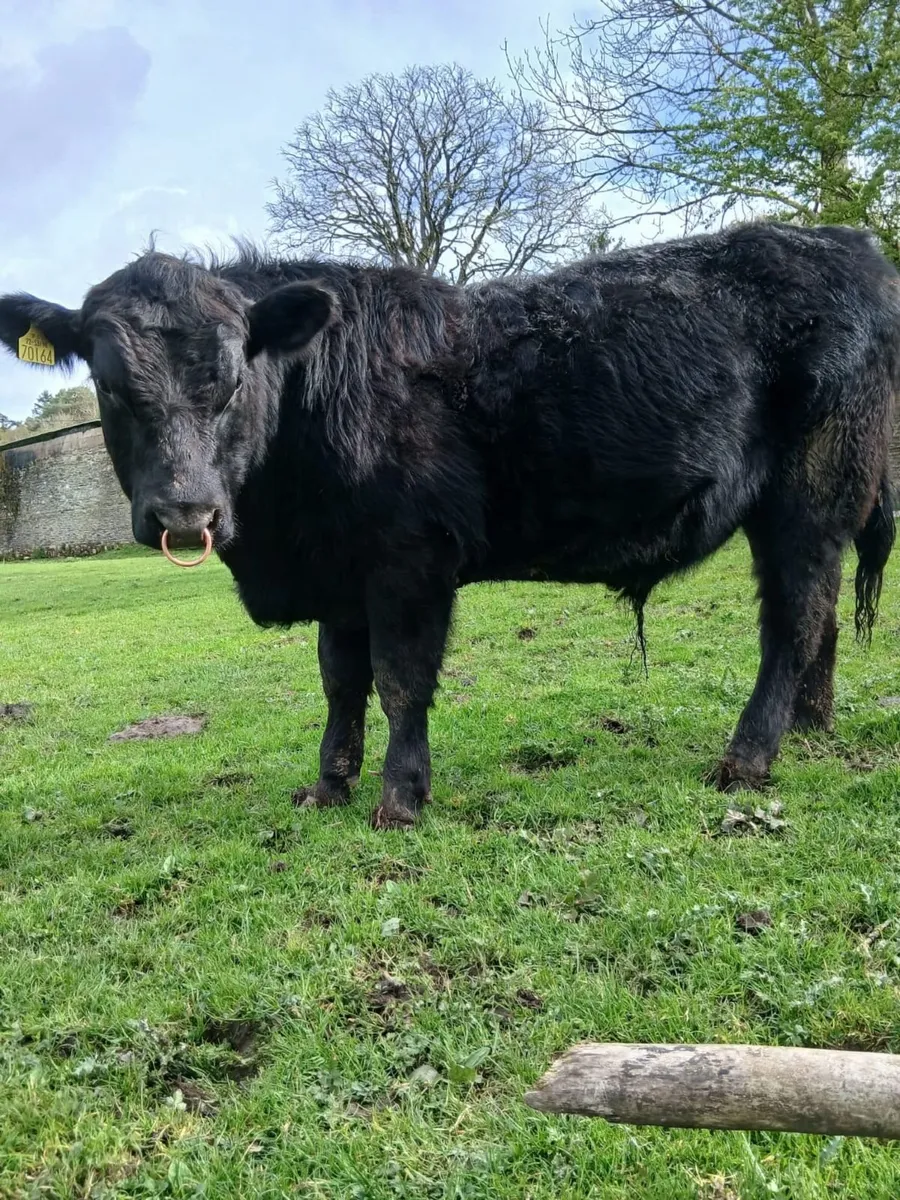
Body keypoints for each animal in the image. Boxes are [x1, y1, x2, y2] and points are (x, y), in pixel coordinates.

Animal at [1, 222, 897, 828]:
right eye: (110, 385)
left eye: (232, 379)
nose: (186, 512)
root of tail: (847, 243)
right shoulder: (341, 574)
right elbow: (340, 681)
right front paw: (328, 785)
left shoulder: (409, 561)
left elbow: (400, 681)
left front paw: (399, 798)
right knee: (818, 620)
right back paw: (809, 725)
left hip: (809, 499)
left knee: (793, 621)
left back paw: (748, 757)